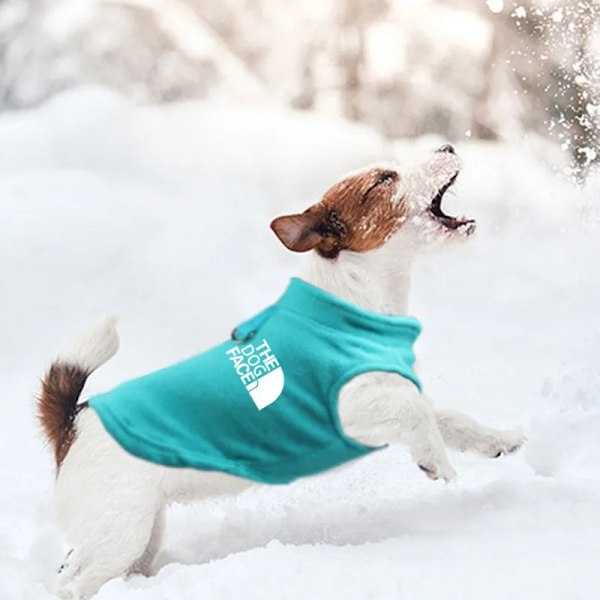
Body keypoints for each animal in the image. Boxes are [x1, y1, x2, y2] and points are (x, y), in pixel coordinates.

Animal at [37, 146, 524, 600]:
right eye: (385, 178)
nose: (447, 146)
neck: (353, 299)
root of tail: (72, 421)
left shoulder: (389, 391)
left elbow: (446, 416)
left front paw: (497, 440)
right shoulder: (346, 410)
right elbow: (415, 410)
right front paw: (437, 463)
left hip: (138, 535)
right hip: (120, 532)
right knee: (71, 585)